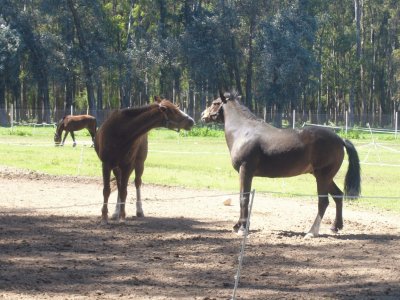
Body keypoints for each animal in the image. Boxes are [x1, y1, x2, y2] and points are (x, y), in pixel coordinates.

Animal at [94, 96, 194, 225]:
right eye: (173, 111)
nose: (191, 121)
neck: (121, 131)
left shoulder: (128, 165)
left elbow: (124, 191)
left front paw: (122, 217)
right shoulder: (106, 164)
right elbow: (107, 190)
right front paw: (104, 217)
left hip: (139, 164)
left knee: (137, 182)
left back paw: (138, 210)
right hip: (117, 167)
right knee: (119, 184)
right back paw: (116, 212)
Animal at [202, 91, 360, 239]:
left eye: (215, 103)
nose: (203, 114)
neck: (243, 131)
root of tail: (340, 139)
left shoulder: (245, 170)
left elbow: (244, 198)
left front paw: (242, 228)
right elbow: (243, 197)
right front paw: (238, 225)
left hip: (322, 177)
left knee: (323, 202)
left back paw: (311, 232)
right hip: (325, 177)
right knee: (338, 196)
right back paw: (335, 226)